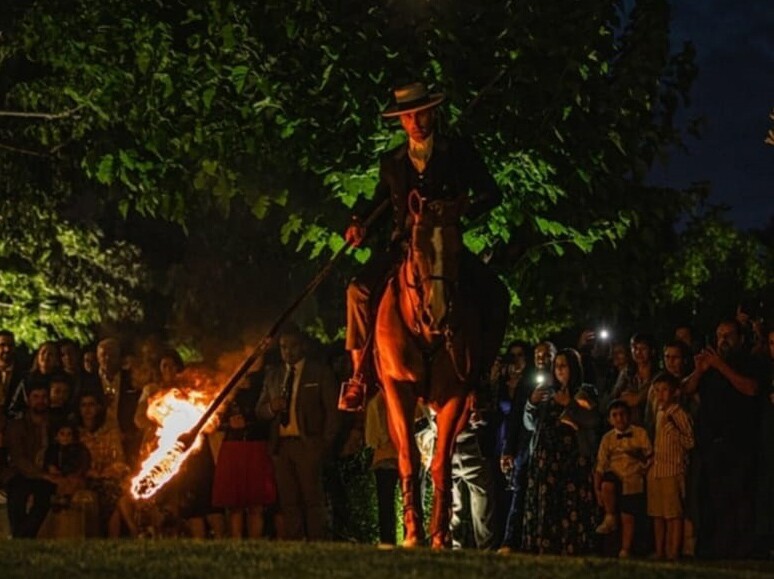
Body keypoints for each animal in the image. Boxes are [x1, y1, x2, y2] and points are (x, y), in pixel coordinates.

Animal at [373, 189, 484, 548]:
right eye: (418, 248)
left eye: (457, 249)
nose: (437, 314)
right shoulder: (398, 389)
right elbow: (408, 456)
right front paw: (412, 532)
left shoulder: (455, 396)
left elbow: (441, 464)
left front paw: (440, 534)